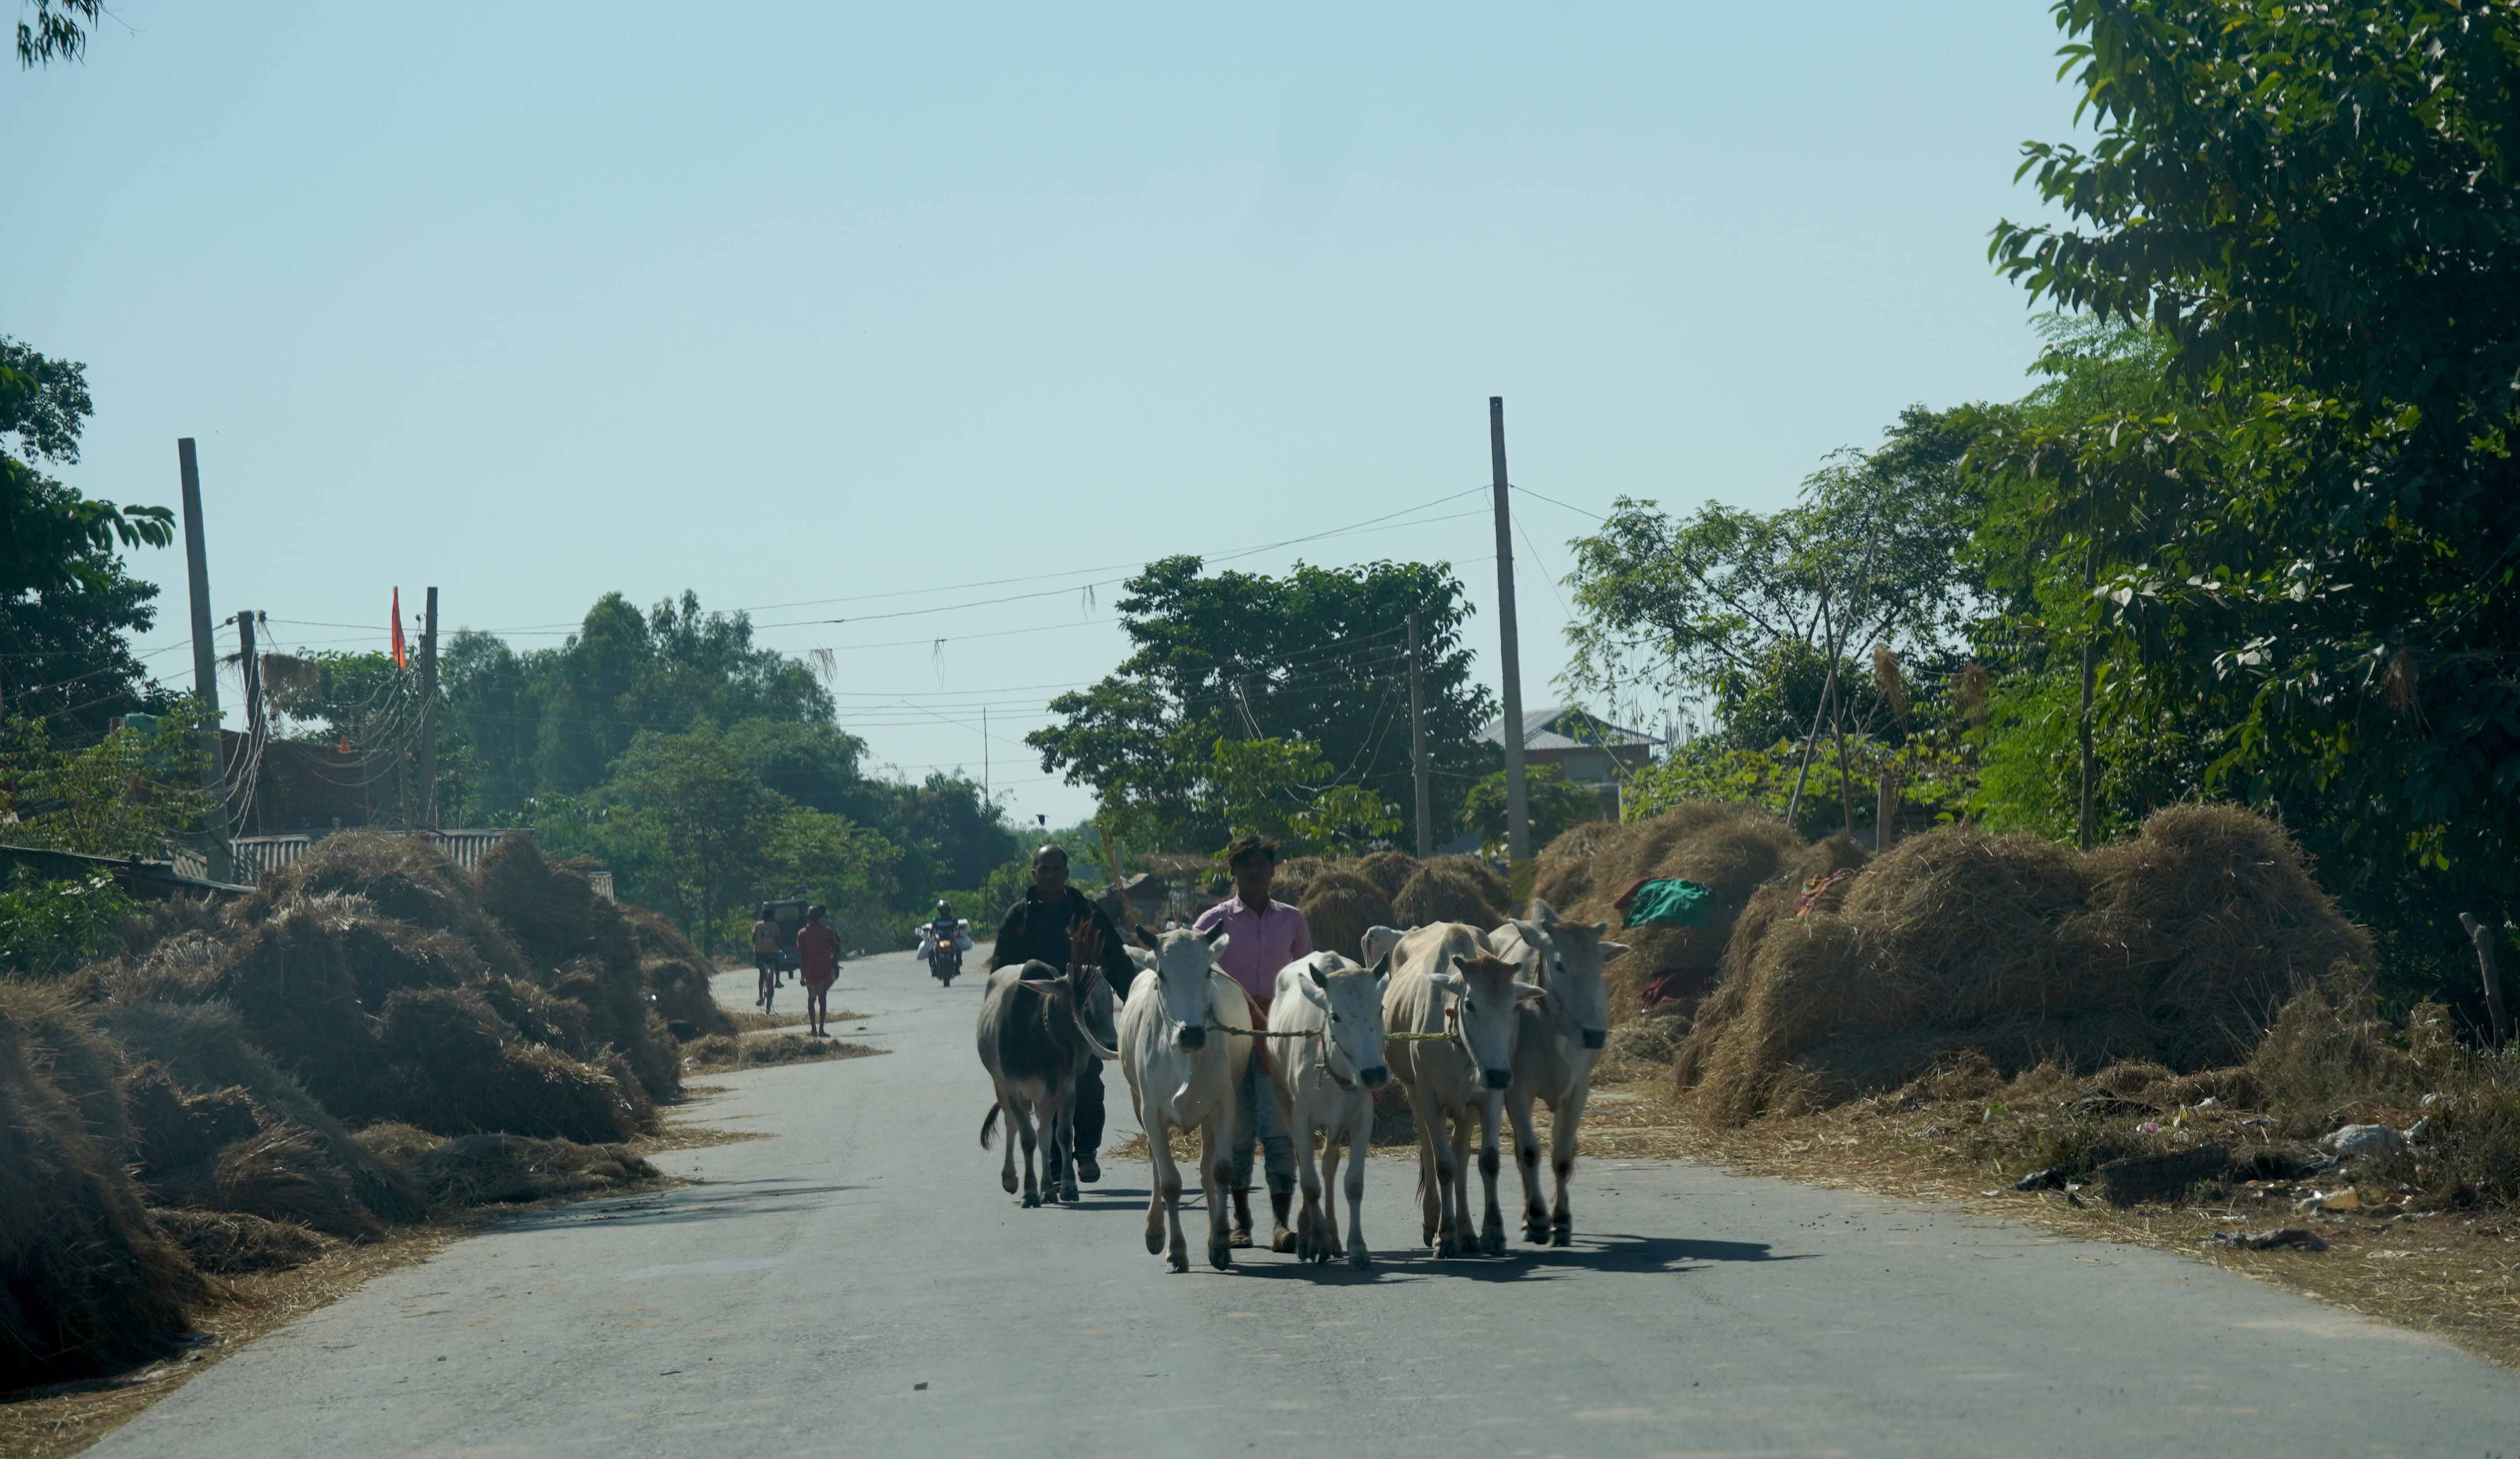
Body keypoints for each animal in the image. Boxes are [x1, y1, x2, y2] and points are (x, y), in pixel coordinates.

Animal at [1124, 932, 1250, 1275]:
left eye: (1207, 971)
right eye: (1162, 974)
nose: (1191, 1034)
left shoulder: (1224, 1107)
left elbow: (1220, 1172)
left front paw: (1220, 1244)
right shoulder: (1151, 1113)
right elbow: (1170, 1184)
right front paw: (1176, 1252)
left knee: (1206, 1172)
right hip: (1138, 1104)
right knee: (1156, 1166)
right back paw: (1155, 1231)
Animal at [1260, 947, 1401, 1265]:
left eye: (1380, 1010)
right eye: (1335, 1016)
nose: (1375, 1074)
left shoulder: (1362, 1119)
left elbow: (1354, 1184)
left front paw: (1356, 1246)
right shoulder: (1301, 1120)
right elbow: (1310, 1184)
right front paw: (1317, 1242)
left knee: (1329, 1164)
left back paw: (1334, 1237)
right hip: (1284, 1104)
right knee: (1306, 1167)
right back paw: (1310, 1235)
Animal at [1371, 927, 1542, 1255]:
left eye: (1513, 1006)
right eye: (1471, 1004)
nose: (1499, 1074)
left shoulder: (1489, 1099)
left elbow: (1488, 1161)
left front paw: (1492, 1233)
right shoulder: (1429, 1098)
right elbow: (1444, 1165)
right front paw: (1445, 1236)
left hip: (1467, 1108)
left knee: (1462, 1154)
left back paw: (1468, 1232)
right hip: (1414, 1092)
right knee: (1429, 1151)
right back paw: (1434, 1222)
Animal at [1492, 902, 1633, 1244]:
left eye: (1599, 965)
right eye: (1559, 965)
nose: (1594, 1034)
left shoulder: (1579, 1089)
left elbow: (1564, 1155)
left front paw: (1563, 1219)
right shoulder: (1517, 1091)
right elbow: (1529, 1152)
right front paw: (1538, 1219)